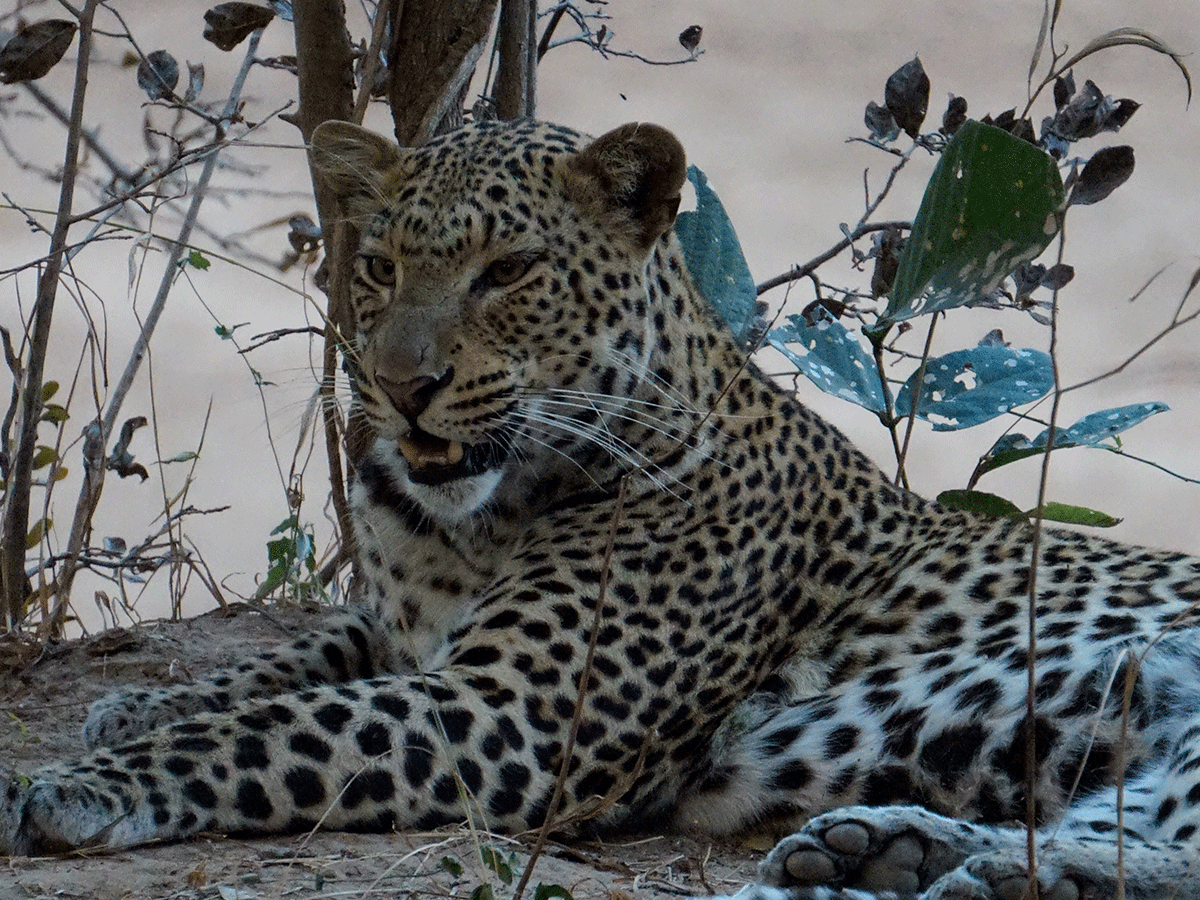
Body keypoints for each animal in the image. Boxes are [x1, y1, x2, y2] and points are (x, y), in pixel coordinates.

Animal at [7, 120, 1200, 900]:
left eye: (508, 271)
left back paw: (995, 874)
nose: (400, 386)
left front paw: (73, 783)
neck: (471, 520)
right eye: (379, 266)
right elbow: (300, 658)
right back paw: (895, 852)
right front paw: (140, 705)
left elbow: (277, 728)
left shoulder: (513, 713)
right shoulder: (413, 637)